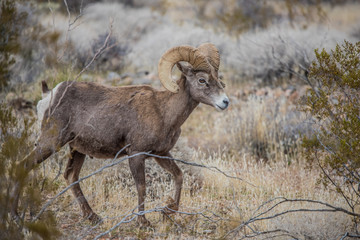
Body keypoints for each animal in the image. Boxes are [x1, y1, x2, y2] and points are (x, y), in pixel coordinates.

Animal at [13, 43, 231, 227]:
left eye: (219, 79)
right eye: (202, 80)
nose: (225, 102)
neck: (163, 111)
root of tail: (49, 95)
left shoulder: (161, 154)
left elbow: (178, 175)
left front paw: (168, 211)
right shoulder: (136, 155)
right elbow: (141, 187)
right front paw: (143, 223)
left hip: (77, 149)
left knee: (71, 177)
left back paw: (94, 217)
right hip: (50, 143)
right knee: (23, 166)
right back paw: (17, 216)